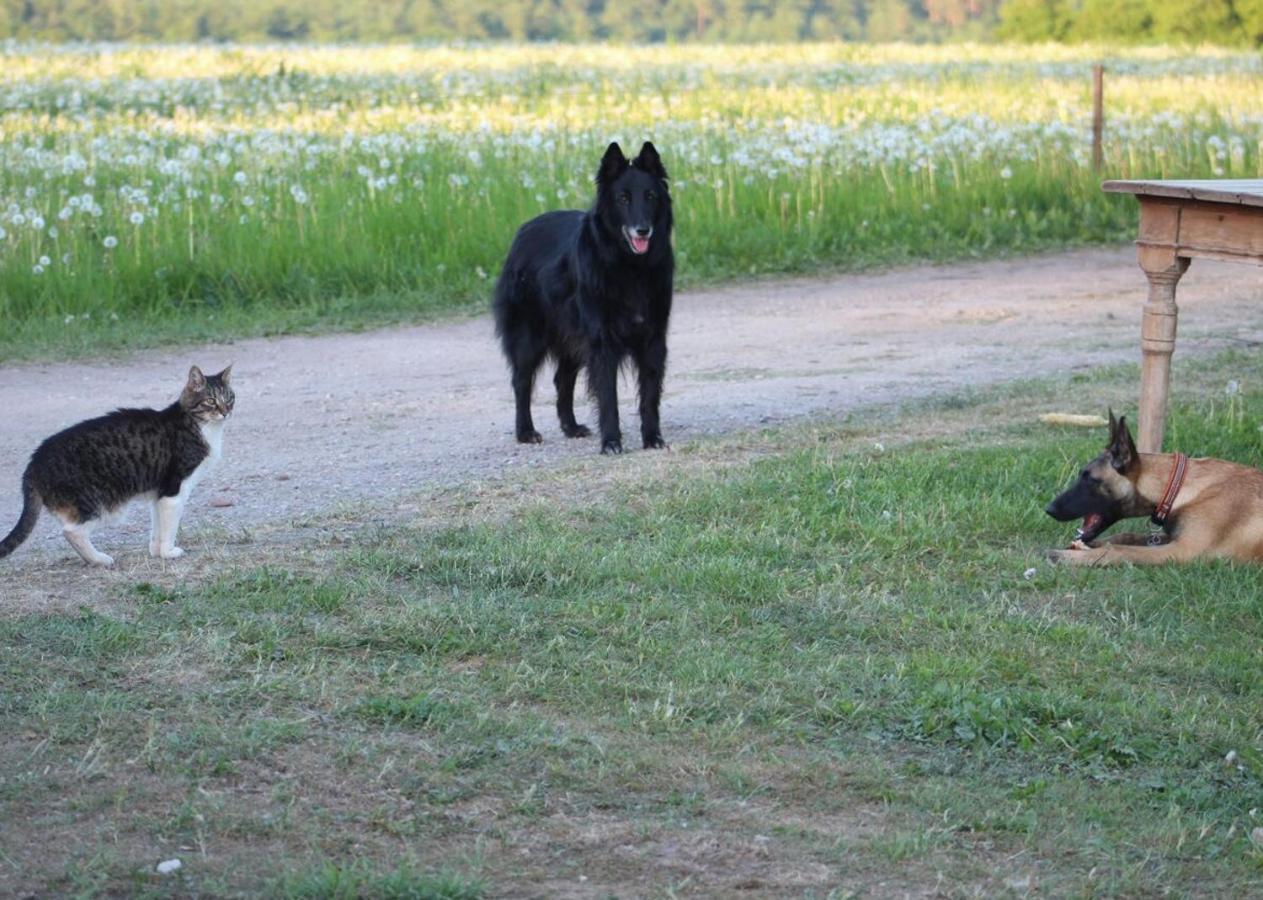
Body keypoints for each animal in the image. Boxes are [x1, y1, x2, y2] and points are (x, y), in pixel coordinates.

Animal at [0, 363, 234, 560]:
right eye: (211, 401)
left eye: (230, 398)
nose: (225, 412)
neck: (203, 427)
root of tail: (33, 463)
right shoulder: (174, 489)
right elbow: (169, 527)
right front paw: (168, 552)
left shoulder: (158, 492)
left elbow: (157, 528)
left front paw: (156, 551)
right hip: (101, 503)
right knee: (71, 531)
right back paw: (99, 560)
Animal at [490, 141, 671, 456]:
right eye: (623, 198)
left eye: (650, 196)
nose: (643, 230)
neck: (629, 267)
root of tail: (522, 231)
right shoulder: (602, 342)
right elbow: (608, 396)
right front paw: (611, 442)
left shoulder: (653, 339)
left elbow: (649, 394)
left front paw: (652, 438)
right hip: (529, 337)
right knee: (521, 381)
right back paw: (525, 432)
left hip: (571, 340)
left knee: (561, 379)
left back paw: (571, 427)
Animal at [1045, 411, 1263, 565]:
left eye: (1090, 479)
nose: (1049, 509)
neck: (1179, 489)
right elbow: (1126, 536)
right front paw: (1090, 545)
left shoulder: (1183, 551)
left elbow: (1120, 550)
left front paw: (1068, 557)